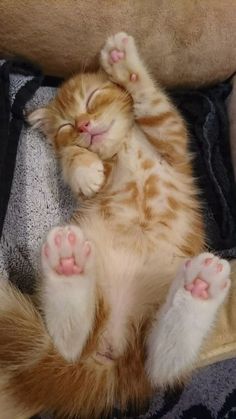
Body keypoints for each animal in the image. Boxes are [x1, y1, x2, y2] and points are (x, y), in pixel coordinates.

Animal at [0, 33, 230, 419]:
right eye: (66, 127)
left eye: (93, 98)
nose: (83, 126)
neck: (124, 145)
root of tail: (112, 353)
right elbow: (73, 160)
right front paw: (83, 167)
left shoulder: (172, 141)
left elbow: (153, 103)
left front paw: (123, 61)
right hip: (100, 305)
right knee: (74, 346)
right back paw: (68, 264)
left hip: (148, 336)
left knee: (160, 362)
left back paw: (201, 285)